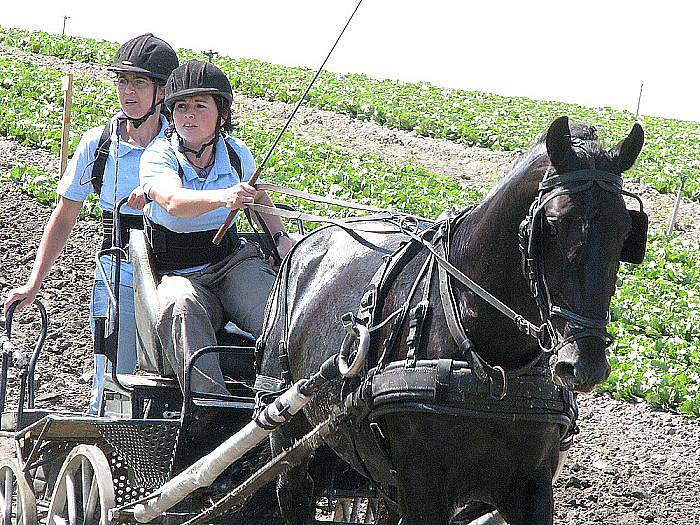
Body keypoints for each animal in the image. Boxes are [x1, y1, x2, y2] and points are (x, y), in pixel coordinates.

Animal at [258, 115, 644, 524]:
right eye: (552, 224)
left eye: (626, 233)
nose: (584, 364)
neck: (494, 372)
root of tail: (306, 241)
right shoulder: (422, 481)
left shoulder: (531, 483)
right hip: (287, 428)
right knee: (293, 491)